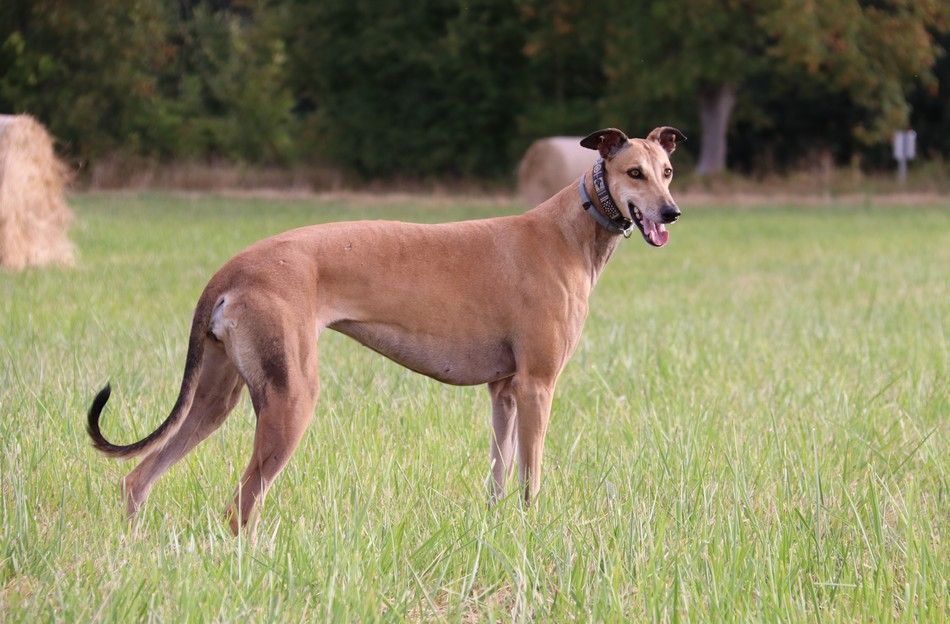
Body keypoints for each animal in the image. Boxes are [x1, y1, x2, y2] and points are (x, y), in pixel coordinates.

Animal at [85, 125, 684, 532]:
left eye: (667, 171)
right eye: (633, 172)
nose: (672, 213)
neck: (570, 228)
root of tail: (229, 270)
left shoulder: (504, 392)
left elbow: (499, 472)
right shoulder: (538, 385)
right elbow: (530, 477)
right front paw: (532, 532)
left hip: (216, 396)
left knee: (139, 477)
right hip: (291, 397)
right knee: (240, 504)